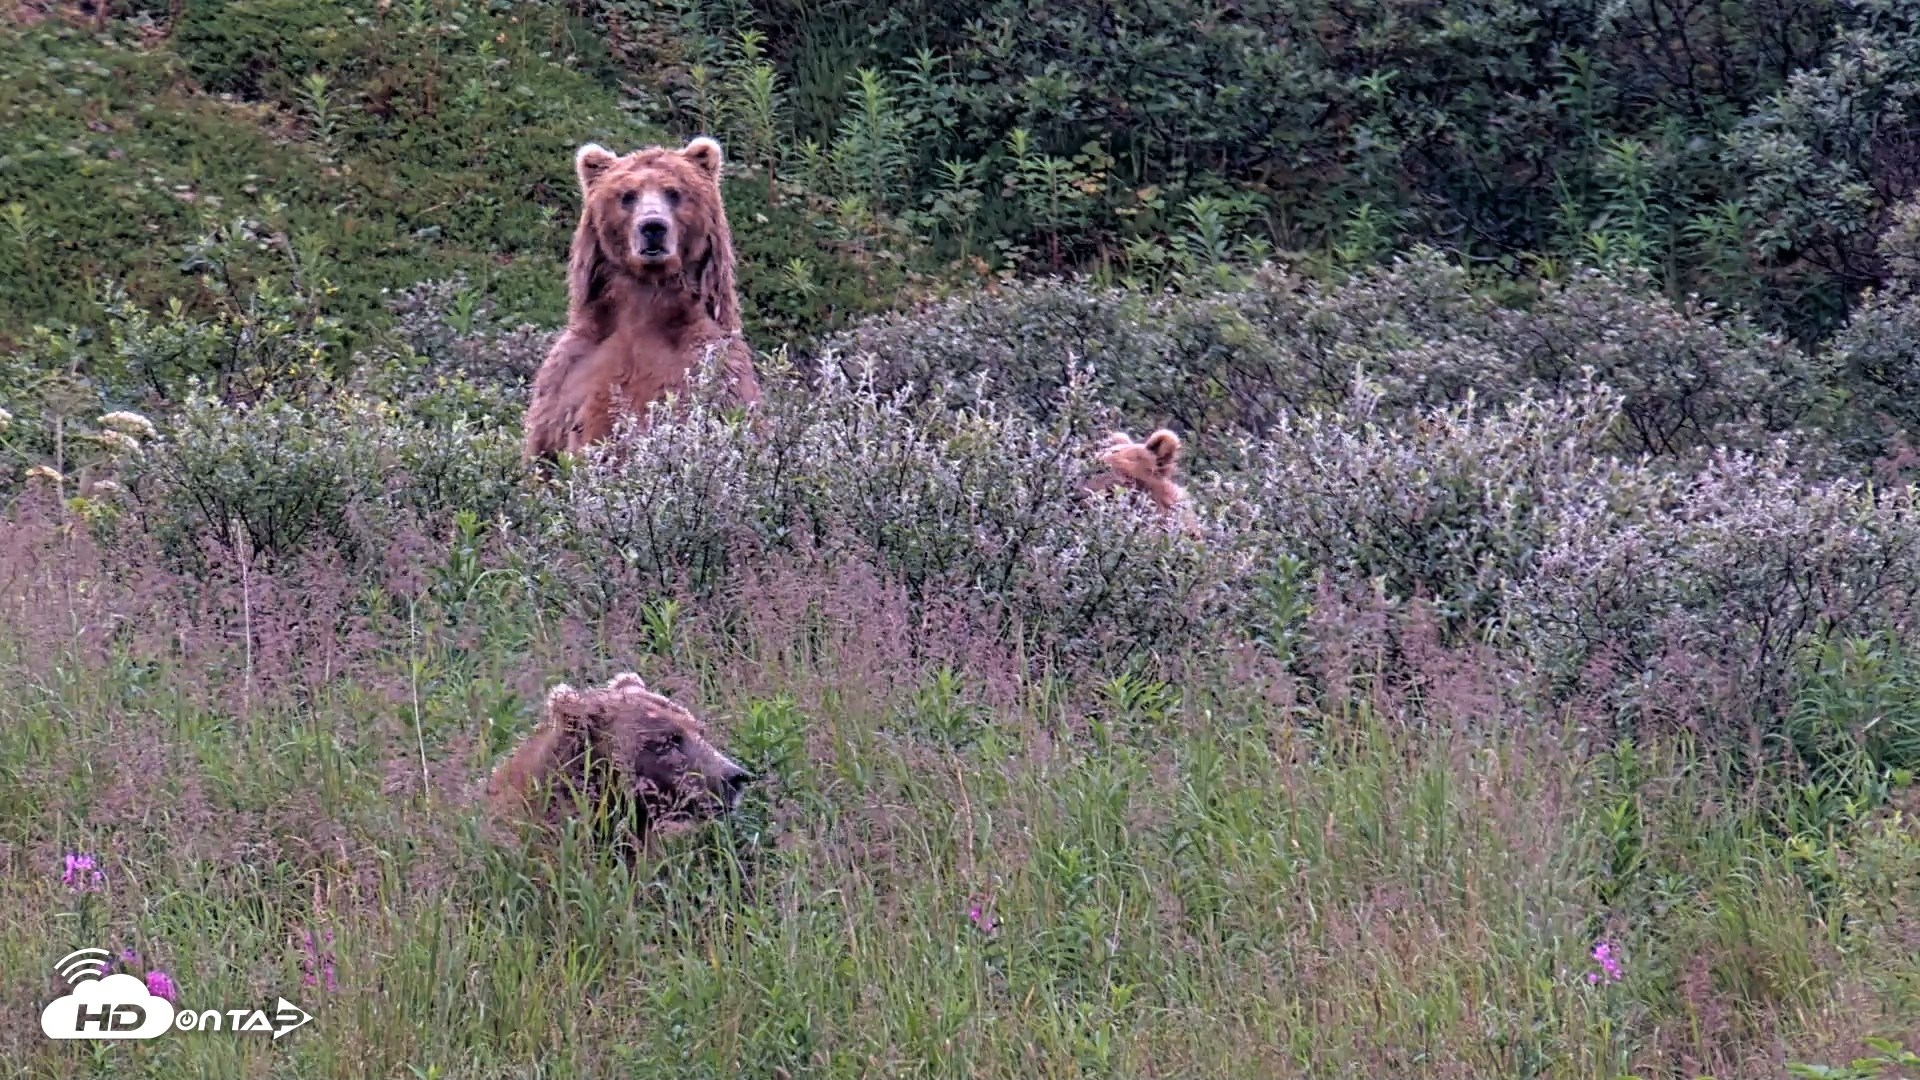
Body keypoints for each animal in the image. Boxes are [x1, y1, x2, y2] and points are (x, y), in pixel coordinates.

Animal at [521, 136, 763, 465]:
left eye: (674, 192)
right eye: (627, 195)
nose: (653, 227)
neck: (646, 300)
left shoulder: (711, 366)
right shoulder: (567, 375)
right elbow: (543, 449)